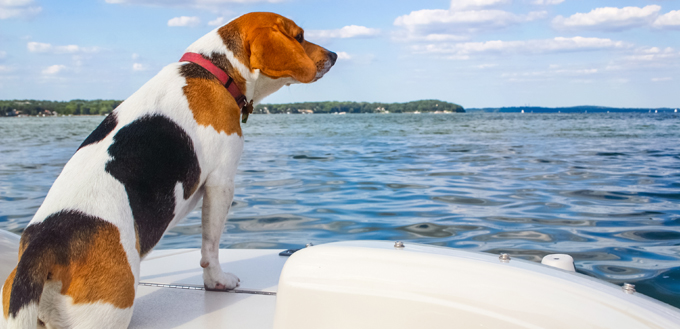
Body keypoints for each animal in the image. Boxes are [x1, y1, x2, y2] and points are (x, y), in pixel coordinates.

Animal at [1, 11, 336, 326]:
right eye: (300, 36)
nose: (333, 55)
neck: (214, 72)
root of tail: (44, 246)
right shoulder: (221, 183)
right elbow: (210, 246)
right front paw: (217, 281)